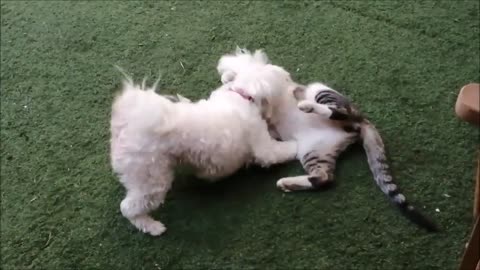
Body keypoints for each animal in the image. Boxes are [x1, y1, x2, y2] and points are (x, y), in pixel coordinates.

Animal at [111, 62, 298, 235]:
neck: (241, 95)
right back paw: (152, 227)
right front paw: (297, 144)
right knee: (127, 207)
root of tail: (127, 123)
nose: (294, 86)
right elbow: (283, 150)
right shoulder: (264, 148)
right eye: (286, 79)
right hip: (151, 178)